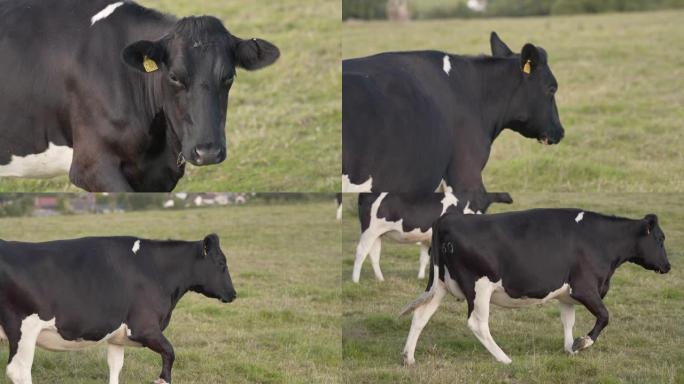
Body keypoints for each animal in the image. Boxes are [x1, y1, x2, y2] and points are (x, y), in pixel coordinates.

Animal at [0, 232, 235, 382]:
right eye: (221, 264)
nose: (233, 294)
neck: (156, 271)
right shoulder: (144, 327)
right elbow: (170, 352)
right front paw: (161, 379)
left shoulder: (117, 337)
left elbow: (115, 367)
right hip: (24, 330)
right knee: (19, 371)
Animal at [352, 190, 508, 282]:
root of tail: (365, 193)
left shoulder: (428, 239)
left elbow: (424, 258)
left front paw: (421, 278)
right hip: (369, 230)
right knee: (361, 251)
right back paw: (355, 280)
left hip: (377, 234)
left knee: (373, 253)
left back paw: (380, 279)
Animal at [398, 208, 672, 364]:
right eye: (660, 239)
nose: (668, 266)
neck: (601, 240)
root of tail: (449, 219)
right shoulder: (584, 288)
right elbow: (605, 316)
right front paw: (582, 343)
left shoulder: (566, 295)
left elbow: (568, 322)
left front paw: (570, 348)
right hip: (480, 287)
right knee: (477, 323)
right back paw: (504, 359)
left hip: (440, 284)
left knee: (420, 315)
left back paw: (409, 357)